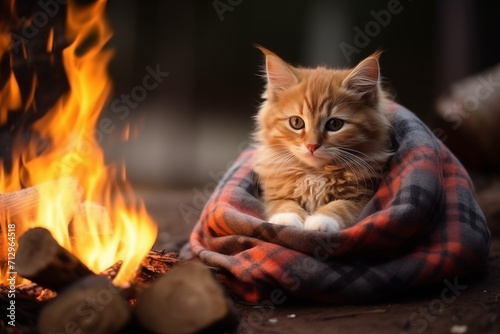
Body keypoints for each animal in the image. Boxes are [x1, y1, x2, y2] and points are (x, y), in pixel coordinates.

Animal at [256, 47, 392, 232]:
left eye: (334, 124)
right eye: (296, 122)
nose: (312, 145)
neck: (316, 174)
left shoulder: (363, 196)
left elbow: (340, 206)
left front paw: (320, 221)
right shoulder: (273, 193)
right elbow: (284, 204)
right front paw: (286, 219)